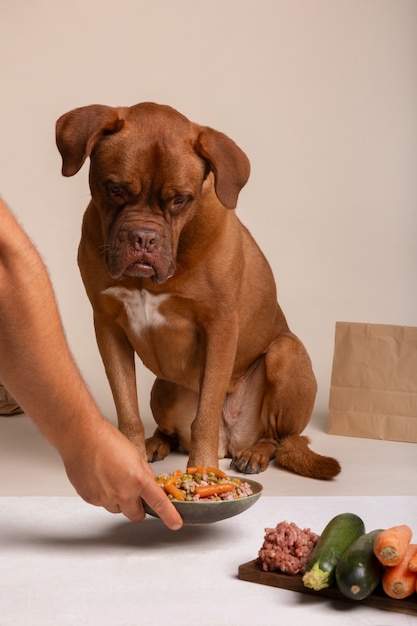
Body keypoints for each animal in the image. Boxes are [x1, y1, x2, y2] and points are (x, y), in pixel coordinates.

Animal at [56, 102, 342, 478]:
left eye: (180, 200)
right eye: (115, 189)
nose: (144, 238)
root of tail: (231, 441)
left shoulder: (219, 328)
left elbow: (205, 413)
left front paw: (202, 469)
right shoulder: (108, 326)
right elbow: (127, 409)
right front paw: (130, 459)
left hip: (286, 353)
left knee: (281, 438)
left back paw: (256, 452)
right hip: (162, 388)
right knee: (171, 429)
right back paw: (157, 442)